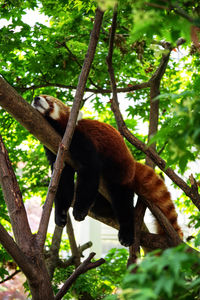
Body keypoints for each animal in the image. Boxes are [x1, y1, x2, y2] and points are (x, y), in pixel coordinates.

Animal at [31, 95, 183, 246]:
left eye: (49, 100)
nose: (36, 98)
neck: (58, 131)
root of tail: (133, 165)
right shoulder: (55, 149)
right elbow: (63, 180)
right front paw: (61, 214)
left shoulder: (80, 138)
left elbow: (90, 170)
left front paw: (80, 210)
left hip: (120, 174)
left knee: (122, 202)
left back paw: (126, 232)